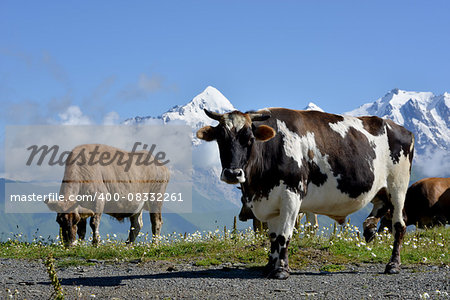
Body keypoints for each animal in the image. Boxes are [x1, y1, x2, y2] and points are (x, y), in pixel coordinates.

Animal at [197, 107, 414, 278]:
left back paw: (393, 264)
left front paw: (281, 270)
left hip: (398, 186)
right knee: (381, 208)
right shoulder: (270, 201)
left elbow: (284, 235)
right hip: (380, 189)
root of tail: (401, 129)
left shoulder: (292, 196)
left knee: (399, 224)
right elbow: (273, 236)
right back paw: (369, 227)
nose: (233, 173)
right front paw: (269, 266)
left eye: (249, 139)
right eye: (220, 139)